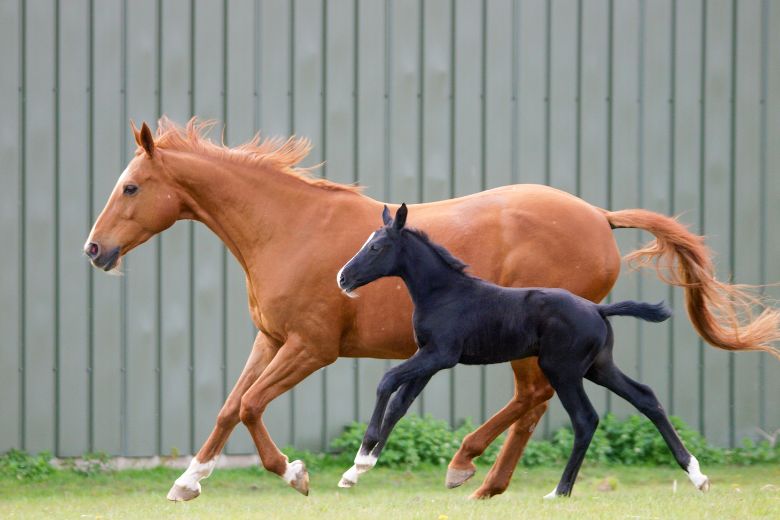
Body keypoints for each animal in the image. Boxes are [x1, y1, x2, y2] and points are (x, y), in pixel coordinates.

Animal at [332, 202, 708, 496]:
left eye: (377, 247)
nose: (342, 278)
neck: (444, 293)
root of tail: (598, 309)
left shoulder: (440, 355)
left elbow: (387, 382)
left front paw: (362, 457)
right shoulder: (428, 358)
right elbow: (399, 405)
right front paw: (355, 472)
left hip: (562, 370)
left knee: (585, 418)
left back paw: (559, 491)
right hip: (598, 367)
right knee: (646, 397)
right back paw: (697, 474)